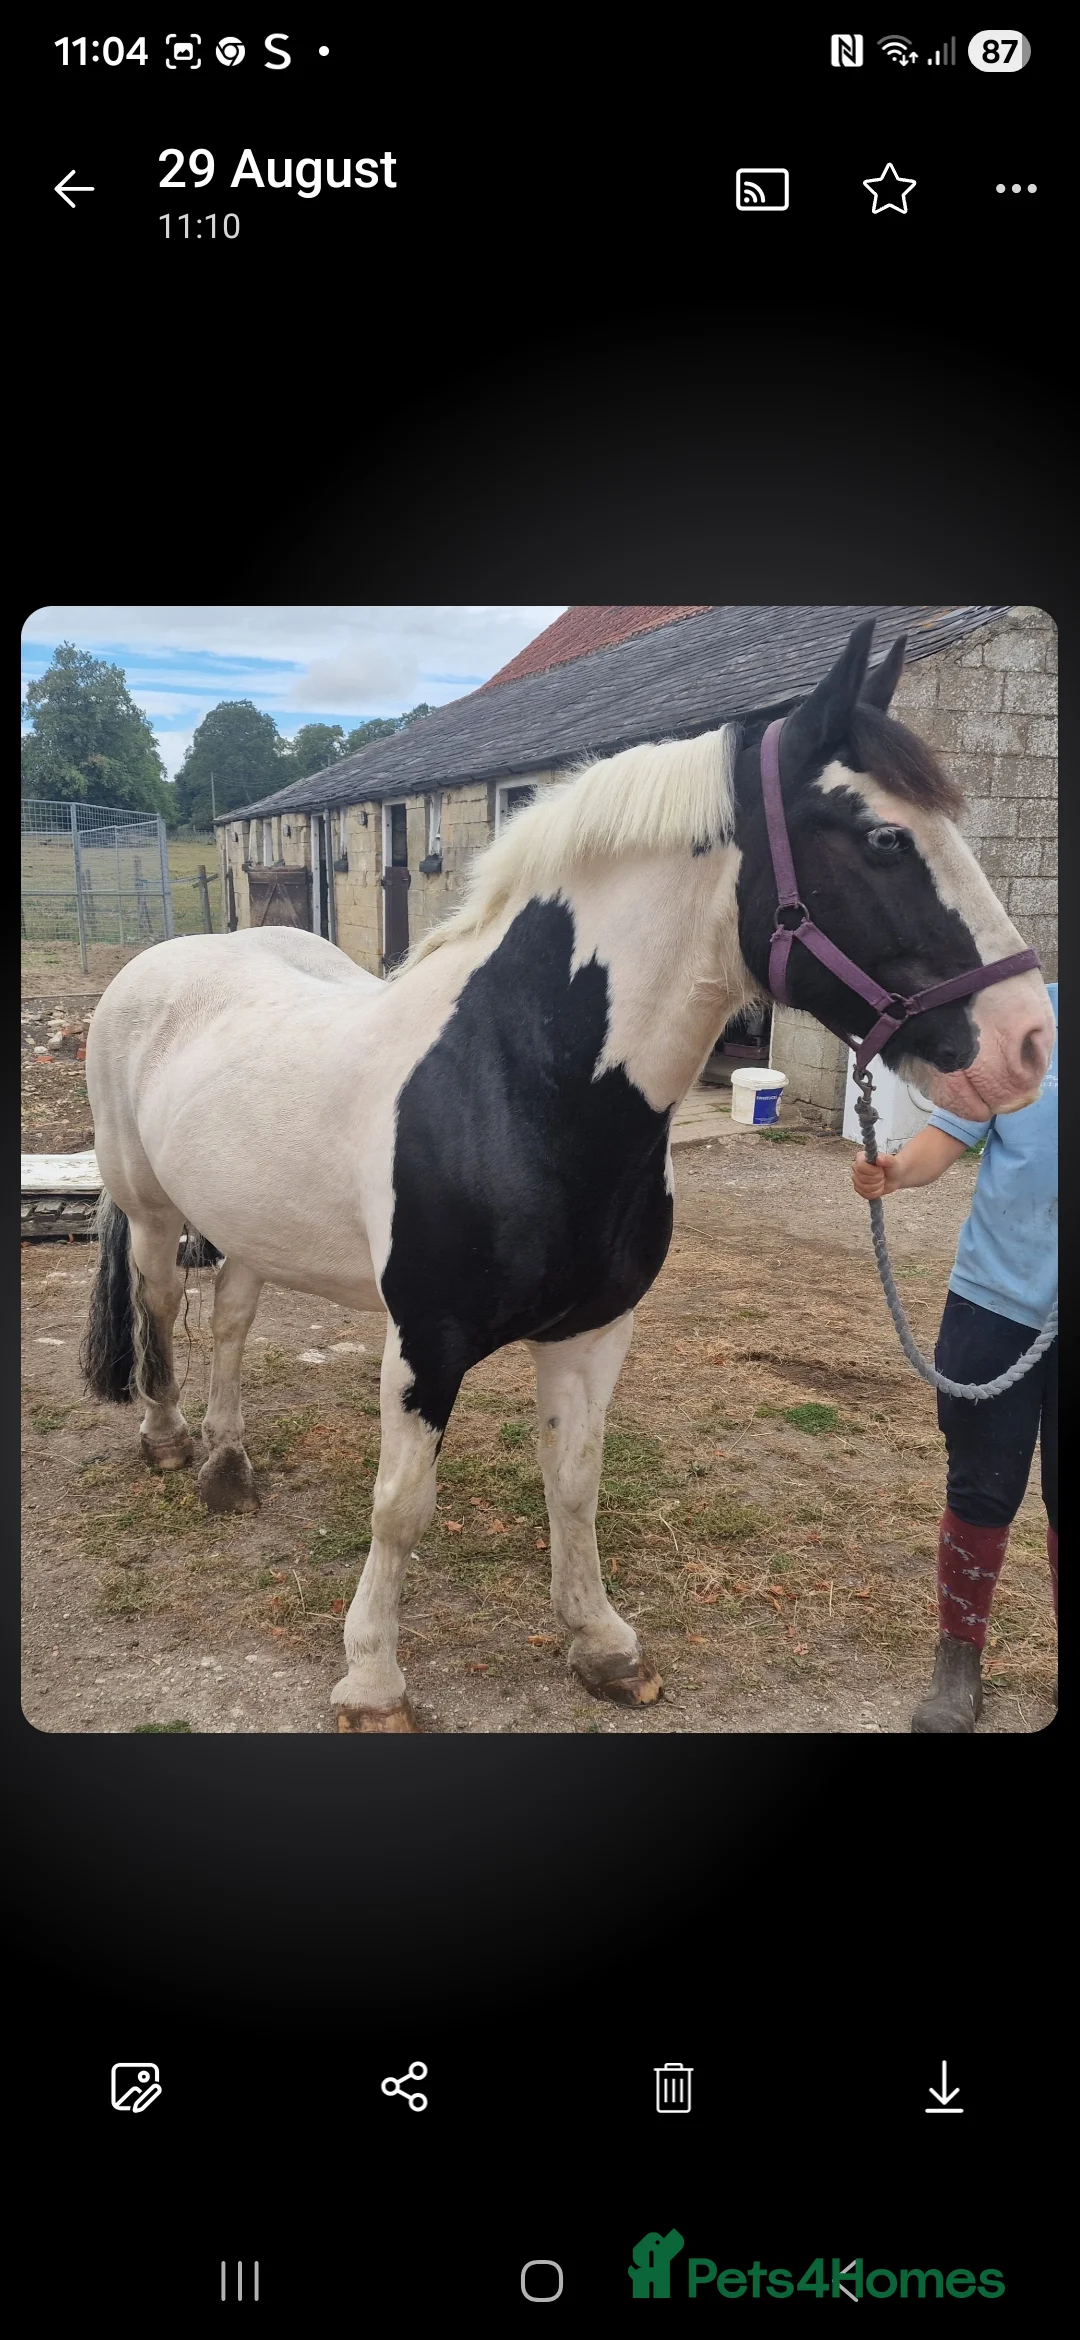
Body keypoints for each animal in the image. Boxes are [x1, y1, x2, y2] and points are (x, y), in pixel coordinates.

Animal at [80, 620, 1054, 1732]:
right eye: (884, 839)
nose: (1028, 1043)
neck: (515, 1080)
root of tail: (164, 964)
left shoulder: (595, 1330)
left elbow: (577, 1482)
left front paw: (603, 1644)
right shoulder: (426, 1341)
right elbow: (401, 1505)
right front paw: (372, 1678)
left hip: (249, 1219)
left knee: (236, 1319)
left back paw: (228, 1460)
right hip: (153, 1213)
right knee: (163, 1309)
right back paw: (167, 1441)